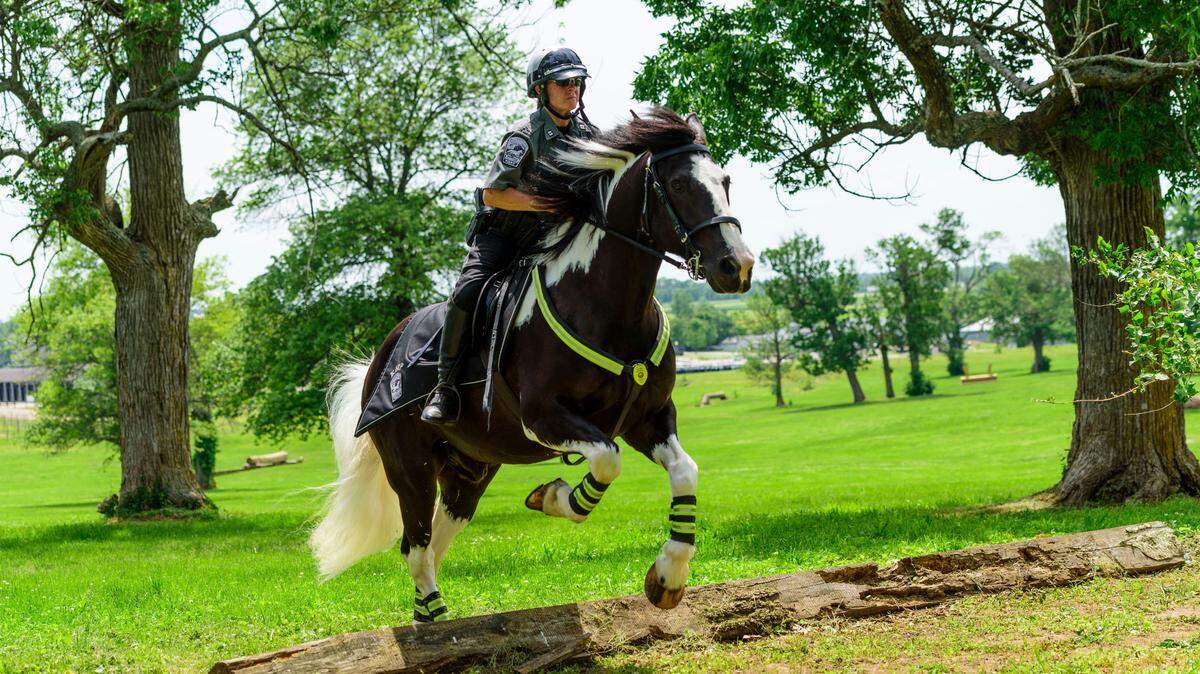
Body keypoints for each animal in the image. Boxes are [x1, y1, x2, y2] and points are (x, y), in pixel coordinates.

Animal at [310, 108, 754, 623]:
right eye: (680, 185)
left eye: (726, 181)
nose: (737, 267)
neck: (604, 304)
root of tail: (378, 363)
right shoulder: (544, 417)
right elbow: (606, 461)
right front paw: (554, 497)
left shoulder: (649, 418)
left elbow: (684, 472)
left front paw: (667, 578)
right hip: (410, 467)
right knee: (416, 548)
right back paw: (437, 621)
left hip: (470, 471)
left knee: (433, 544)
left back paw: (429, 616)